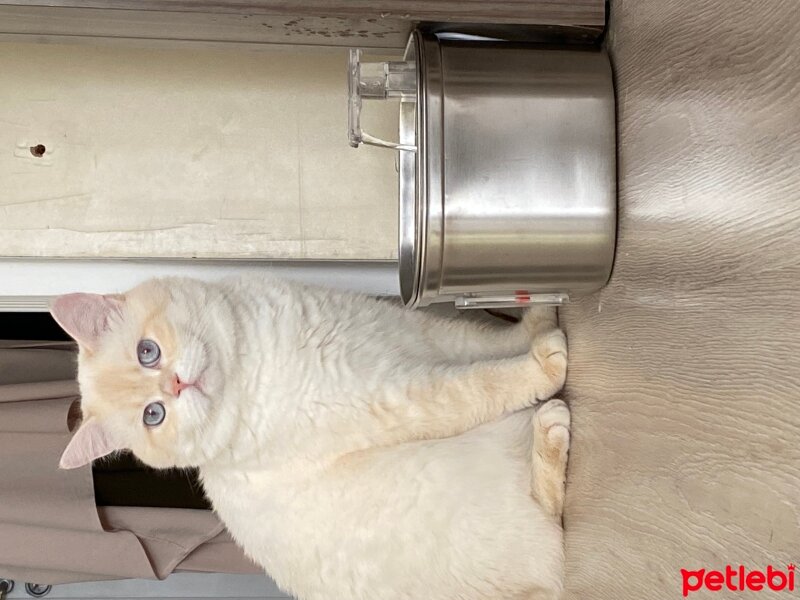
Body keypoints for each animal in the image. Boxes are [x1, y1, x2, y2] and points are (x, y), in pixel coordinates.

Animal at [51, 276, 568, 600]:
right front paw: (544, 363)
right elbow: (479, 384)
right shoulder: (397, 394)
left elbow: (487, 341)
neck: (252, 356)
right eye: (153, 416)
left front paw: (540, 316)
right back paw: (553, 425)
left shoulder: (413, 332)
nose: (177, 385)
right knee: (553, 511)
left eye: (148, 352)